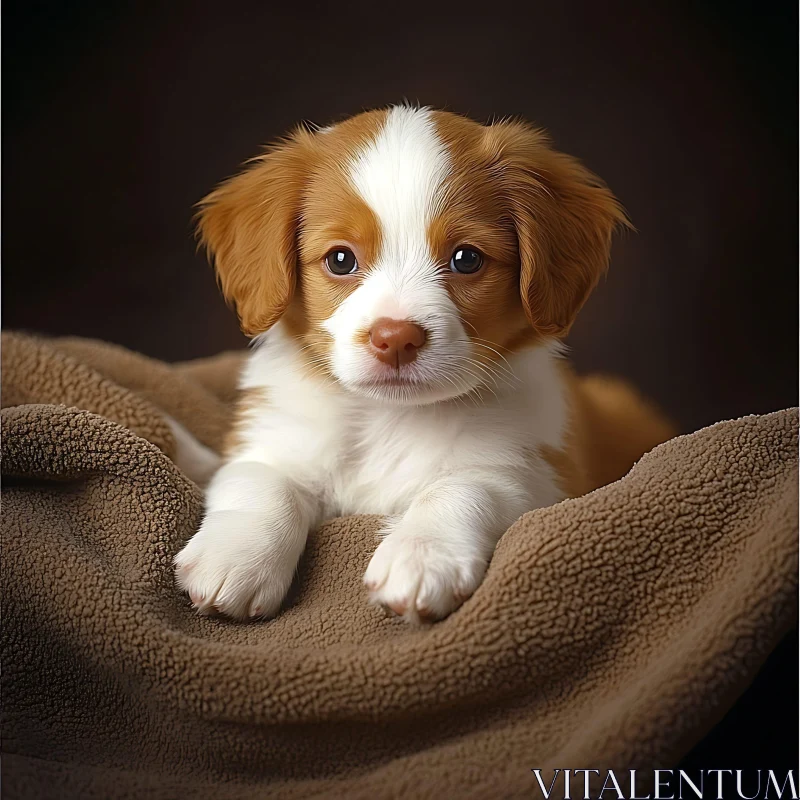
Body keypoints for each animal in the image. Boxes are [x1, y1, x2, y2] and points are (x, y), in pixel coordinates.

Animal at [175, 103, 676, 624]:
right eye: (340, 259)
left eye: (466, 258)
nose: (395, 338)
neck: (391, 418)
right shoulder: (275, 440)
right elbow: (258, 480)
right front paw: (235, 555)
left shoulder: (533, 475)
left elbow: (461, 487)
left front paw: (421, 554)